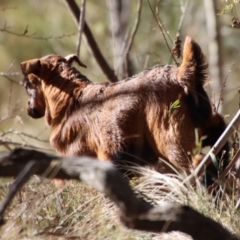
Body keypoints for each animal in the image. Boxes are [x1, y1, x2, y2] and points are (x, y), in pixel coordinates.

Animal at [20, 36, 229, 186]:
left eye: (27, 85)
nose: (30, 110)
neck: (71, 99)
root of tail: (180, 77)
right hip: (209, 125)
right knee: (220, 148)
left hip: (171, 140)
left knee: (196, 163)